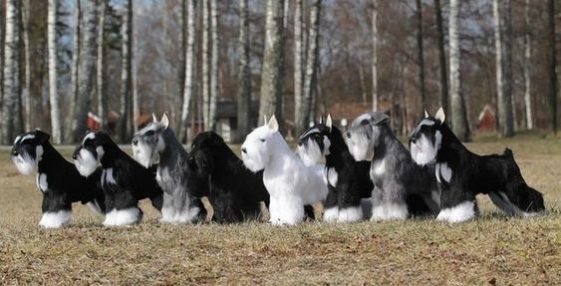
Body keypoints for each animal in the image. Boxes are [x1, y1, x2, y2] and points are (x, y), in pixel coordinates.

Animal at [410, 108, 544, 222]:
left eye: (427, 129)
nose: (412, 139)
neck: (445, 155)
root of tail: (508, 156)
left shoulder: (458, 187)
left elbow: (459, 203)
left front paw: (459, 218)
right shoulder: (446, 188)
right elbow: (447, 204)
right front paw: (444, 217)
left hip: (512, 186)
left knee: (532, 195)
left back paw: (535, 212)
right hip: (498, 192)